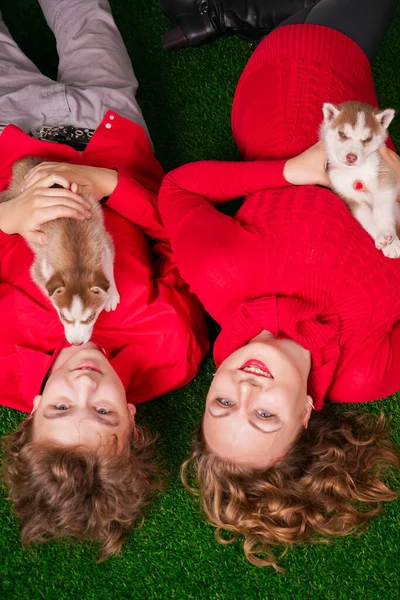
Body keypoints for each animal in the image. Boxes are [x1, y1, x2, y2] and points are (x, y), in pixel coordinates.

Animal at [0, 157, 119, 344]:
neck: (76, 261)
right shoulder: (39, 268)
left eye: (90, 317)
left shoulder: (104, 241)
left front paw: (111, 294)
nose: (76, 343)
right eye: (63, 317)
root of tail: (26, 162)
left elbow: (108, 266)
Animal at [320, 101, 400, 260]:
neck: (356, 170)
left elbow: (380, 209)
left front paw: (388, 234)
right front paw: (383, 239)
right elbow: (365, 217)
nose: (351, 157)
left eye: (367, 139)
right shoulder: (349, 196)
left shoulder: (386, 174)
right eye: (342, 134)